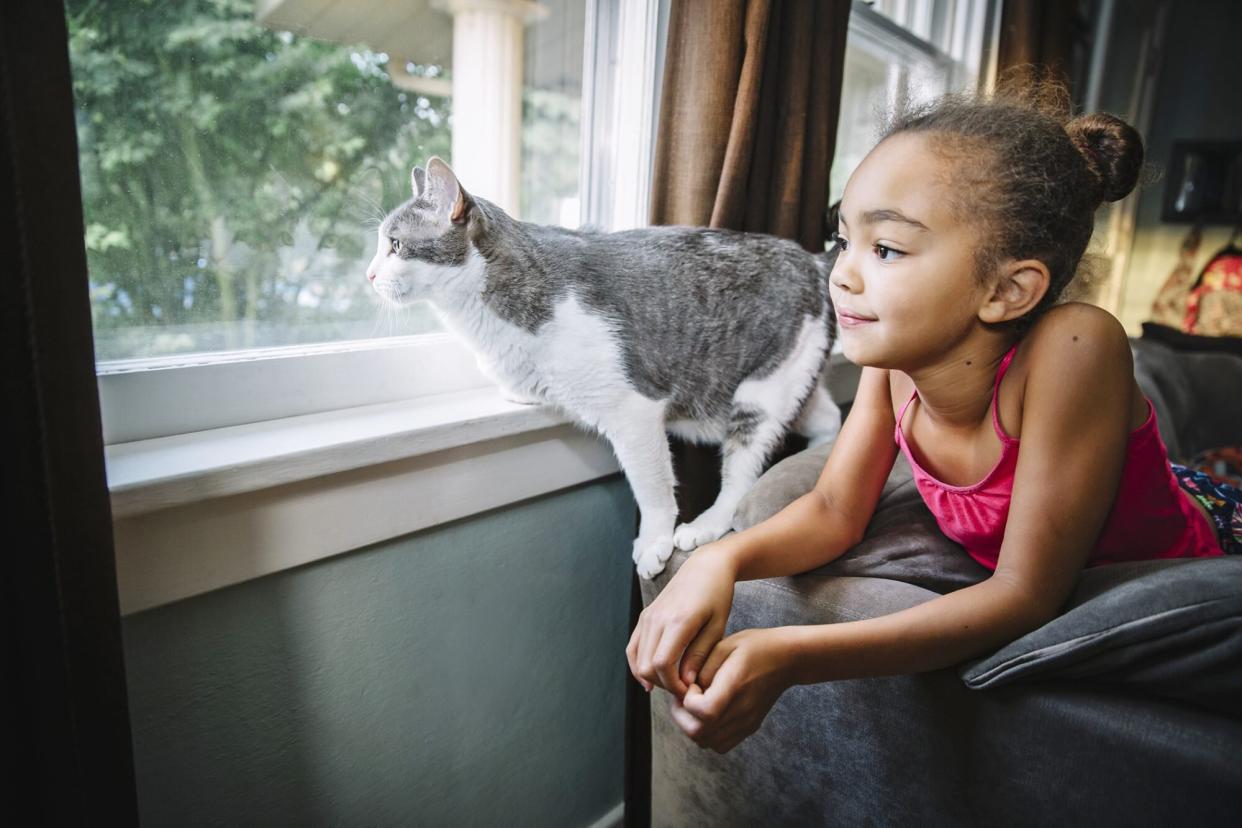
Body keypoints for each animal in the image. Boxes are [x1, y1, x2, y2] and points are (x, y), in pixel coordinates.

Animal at [362, 158, 839, 580]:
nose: (367, 274)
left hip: (758, 397)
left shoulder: (633, 412)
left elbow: (652, 487)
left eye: (395, 245)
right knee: (831, 419)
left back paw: (705, 525)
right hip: (790, 383)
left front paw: (654, 541)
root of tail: (814, 261)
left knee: (741, 477)